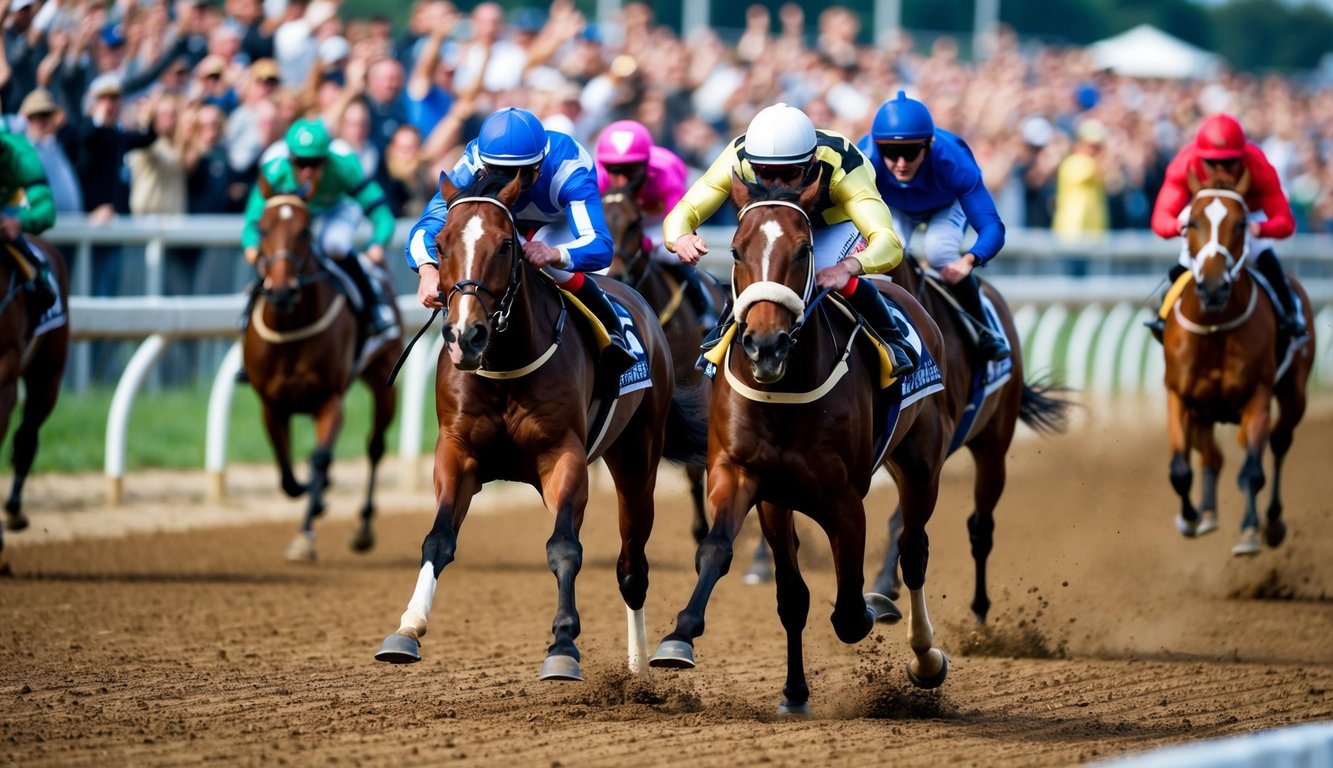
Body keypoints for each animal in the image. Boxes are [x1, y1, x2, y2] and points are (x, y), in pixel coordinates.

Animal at [242, 182, 399, 560]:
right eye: (262, 229)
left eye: (305, 231)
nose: (281, 291)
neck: (290, 328)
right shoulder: (272, 405)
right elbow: (288, 476)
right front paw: (317, 498)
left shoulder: (330, 399)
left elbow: (319, 458)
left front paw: (306, 534)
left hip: (383, 379)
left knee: (375, 447)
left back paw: (363, 528)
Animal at [375, 172, 709, 677]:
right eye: (441, 242)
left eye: (506, 245)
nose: (466, 336)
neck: (505, 364)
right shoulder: (456, 451)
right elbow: (438, 539)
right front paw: (407, 628)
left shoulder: (563, 456)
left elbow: (564, 548)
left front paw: (564, 646)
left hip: (637, 457)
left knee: (632, 566)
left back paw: (640, 665)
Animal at [650, 177, 954, 714]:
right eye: (735, 249)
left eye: (804, 250)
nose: (765, 345)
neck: (786, 391)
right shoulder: (753, 482)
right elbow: (747, 570)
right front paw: (681, 639)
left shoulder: (844, 500)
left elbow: (850, 614)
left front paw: (873, 605)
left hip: (921, 465)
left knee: (913, 551)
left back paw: (924, 657)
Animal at [1167, 170, 1311, 557]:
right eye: (1191, 222)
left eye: (1241, 223)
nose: (1214, 287)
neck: (1215, 328)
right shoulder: (1179, 395)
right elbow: (1179, 470)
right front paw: (1189, 518)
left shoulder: (1256, 396)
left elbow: (1252, 472)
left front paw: (1249, 531)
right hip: (1204, 410)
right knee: (1213, 455)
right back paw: (1207, 514)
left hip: (1294, 393)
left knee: (1277, 442)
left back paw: (1272, 522)